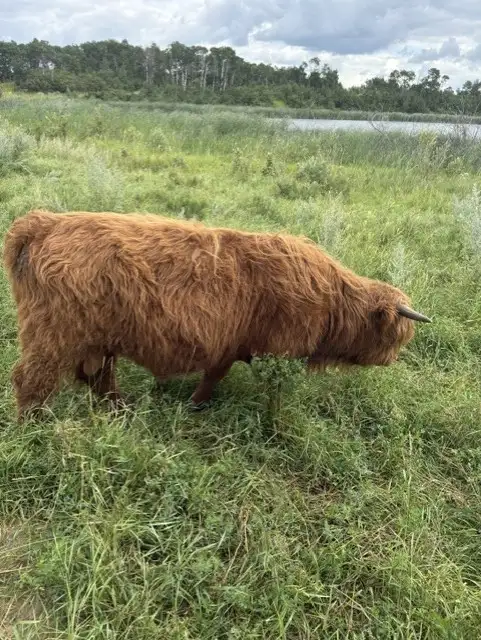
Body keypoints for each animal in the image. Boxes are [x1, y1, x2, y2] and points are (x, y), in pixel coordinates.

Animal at [3, 209, 431, 422]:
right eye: (396, 336)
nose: (393, 359)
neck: (332, 300)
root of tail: (46, 222)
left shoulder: (229, 345)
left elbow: (213, 376)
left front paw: (196, 405)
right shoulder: (279, 352)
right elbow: (274, 394)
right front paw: (274, 422)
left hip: (96, 339)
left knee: (96, 377)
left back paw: (122, 410)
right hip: (54, 334)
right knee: (31, 380)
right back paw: (32, 429)